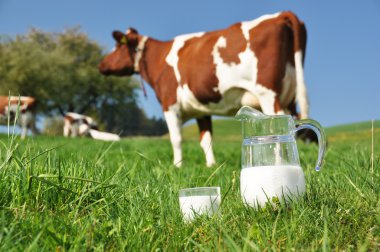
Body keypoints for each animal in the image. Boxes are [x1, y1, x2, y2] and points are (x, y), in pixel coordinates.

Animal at [99, 11, 310, 167]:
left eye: (117, 47)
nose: (101, 65)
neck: (158, 59)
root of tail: (280, 14)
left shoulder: (169, 104)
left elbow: (176, 138)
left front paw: (178, 166)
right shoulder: (201, 110)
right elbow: (206, 140)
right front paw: (211, 165)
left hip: (267, 93)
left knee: (278, 124)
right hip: (289, 94)